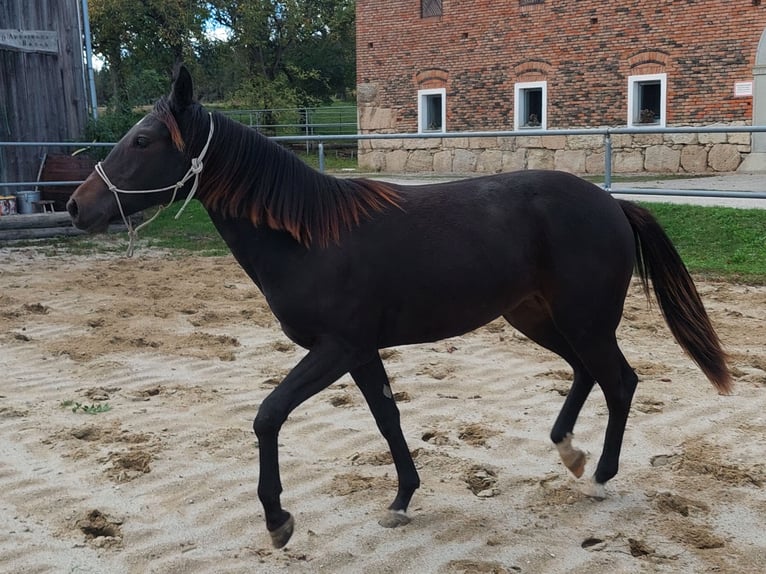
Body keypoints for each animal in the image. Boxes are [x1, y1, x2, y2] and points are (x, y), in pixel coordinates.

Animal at [70, 67, 732, 548]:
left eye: (144, 140)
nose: (78, 206)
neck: (310, 237)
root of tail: (612, 204)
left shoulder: (336, 348)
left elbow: (267, 416)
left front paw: (278, 520)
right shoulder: (359, 352)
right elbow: (387, 419)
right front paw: (402, 500)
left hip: (584, 320)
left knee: (619, 381)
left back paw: (597, 478)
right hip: (537, 317)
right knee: (585, 372)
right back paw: (569, 451)